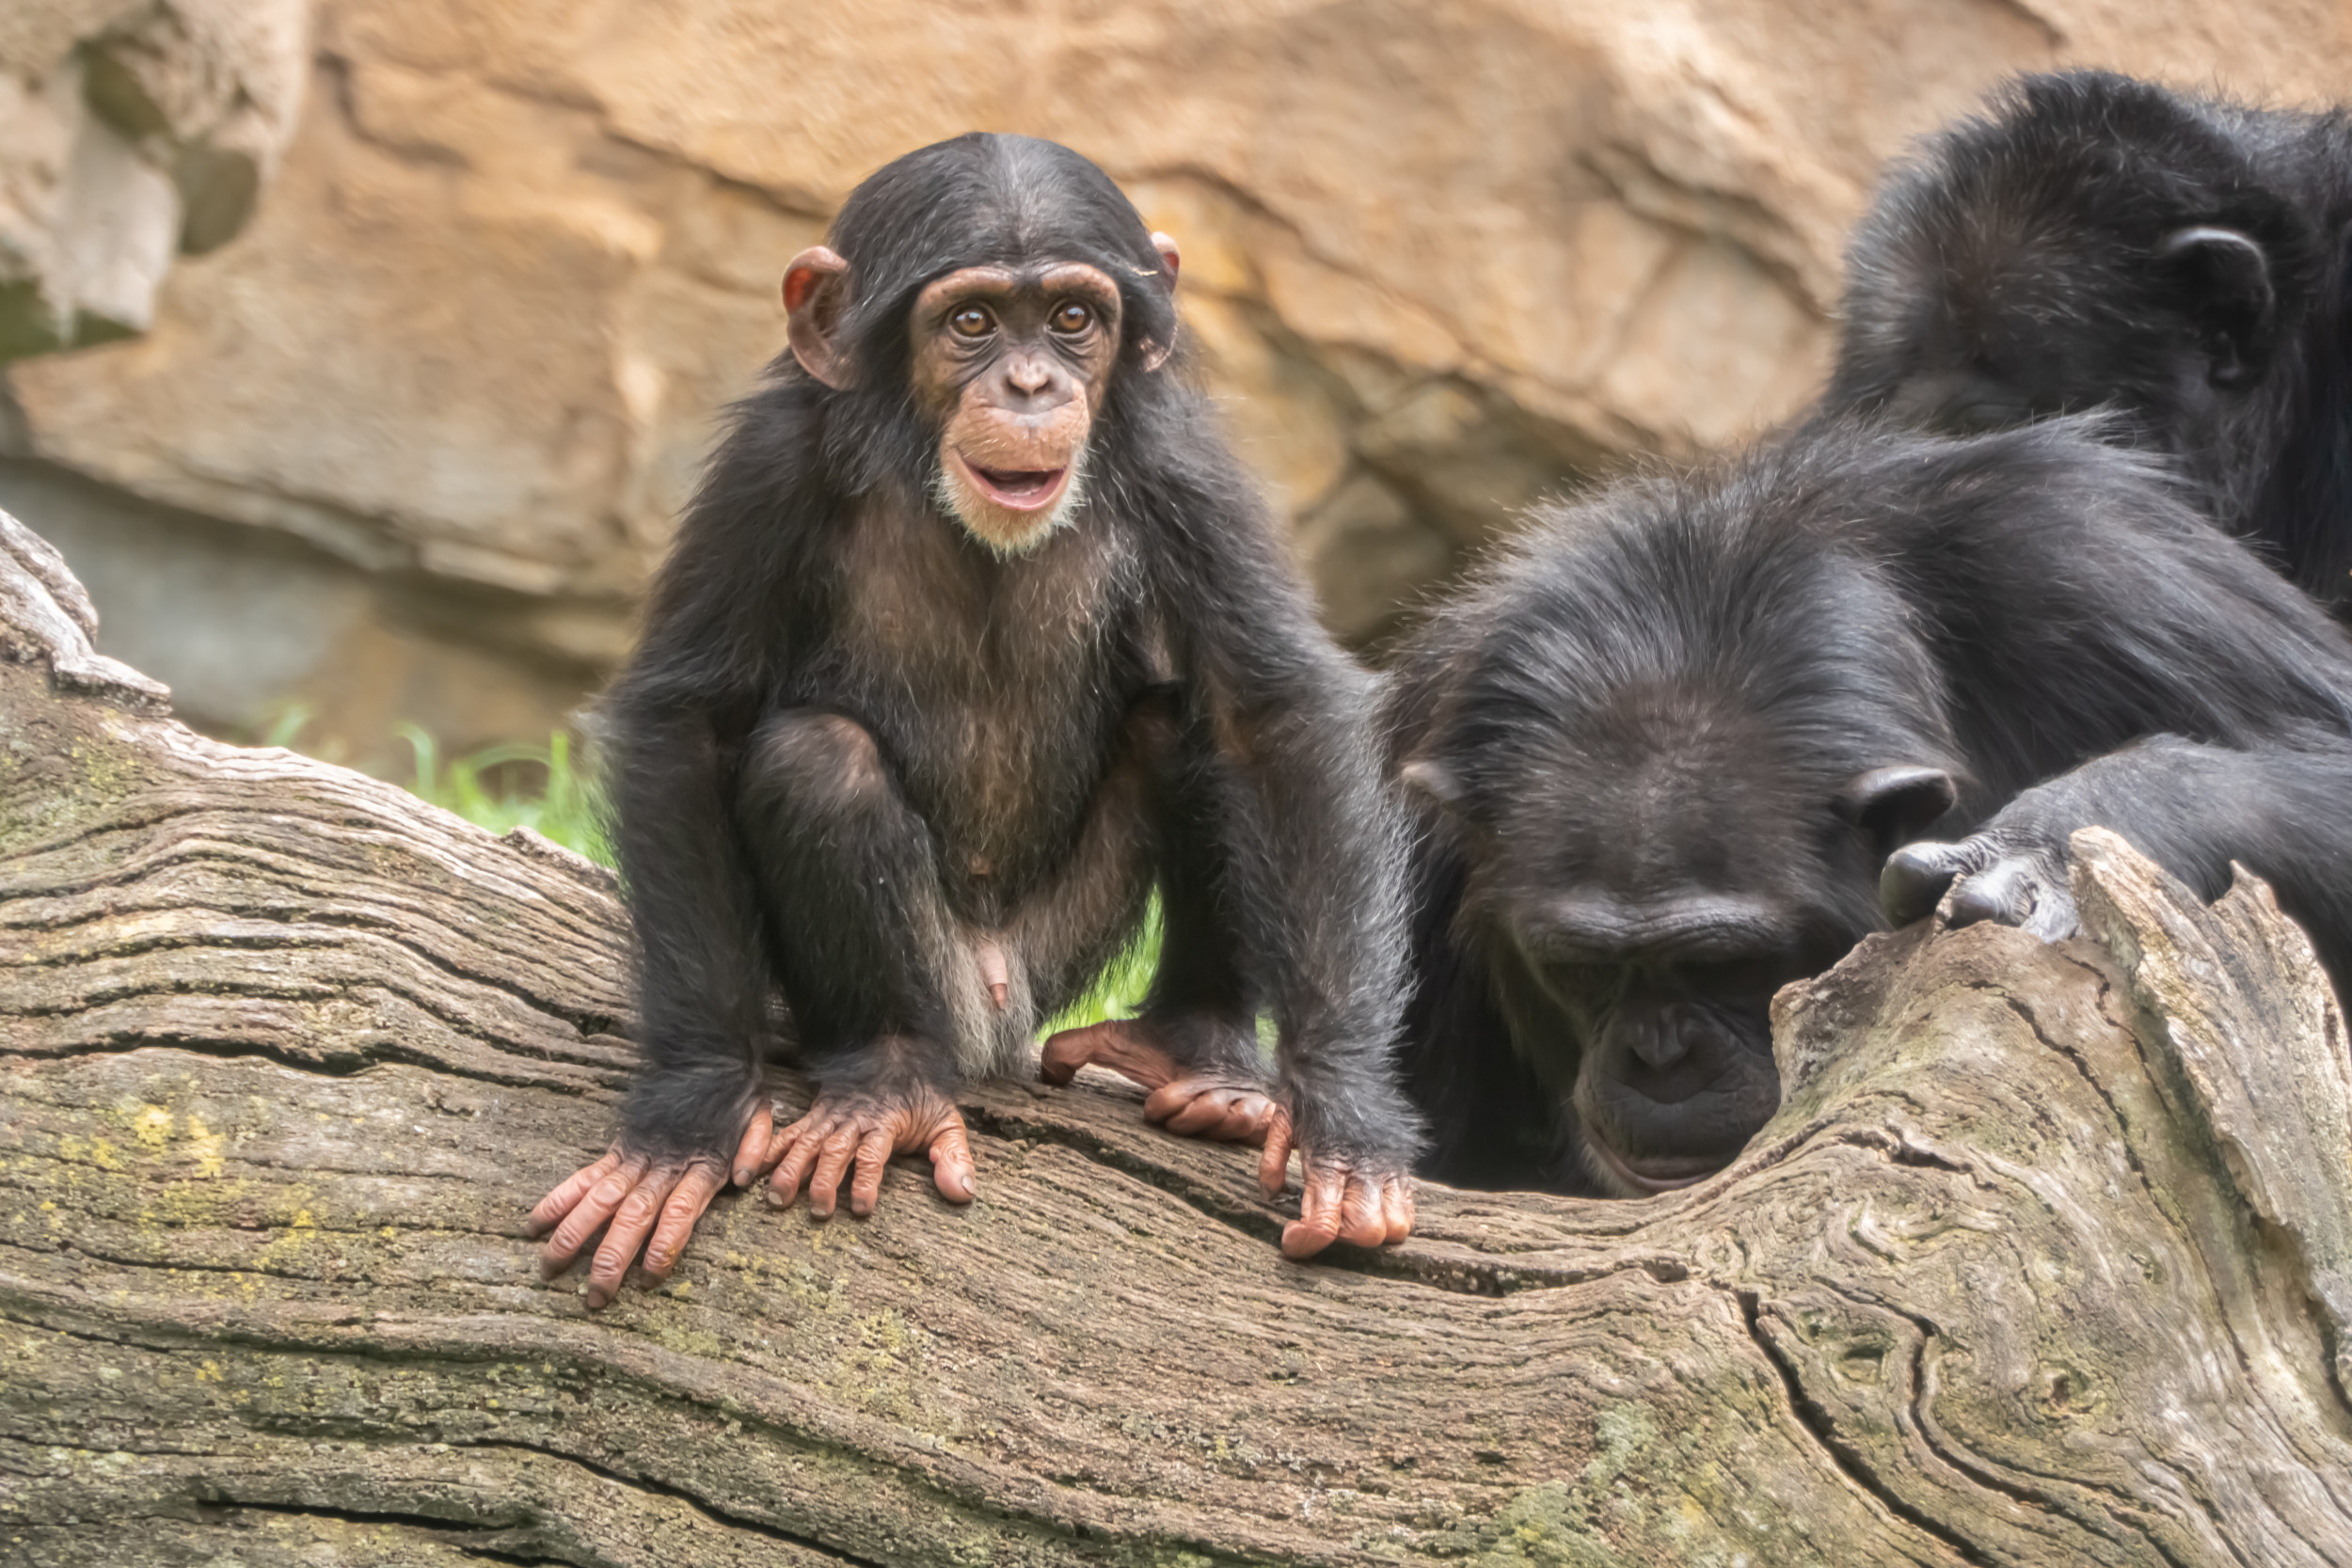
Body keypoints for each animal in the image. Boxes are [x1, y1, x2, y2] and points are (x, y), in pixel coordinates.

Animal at [532, 137, 1411, 1316]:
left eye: (1074, 318)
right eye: (973, 322)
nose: (1031, 384)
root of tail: (996, 1007)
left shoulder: (1188, 465)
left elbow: (1272, 709)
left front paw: (1347, 1125)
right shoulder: (766, 465)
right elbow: (691, 719)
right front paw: (687, 1117)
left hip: (1057, 947)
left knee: (1188, 722)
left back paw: (1203, 1059)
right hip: (942, 978)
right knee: (818, 762)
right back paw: (891, 1083)